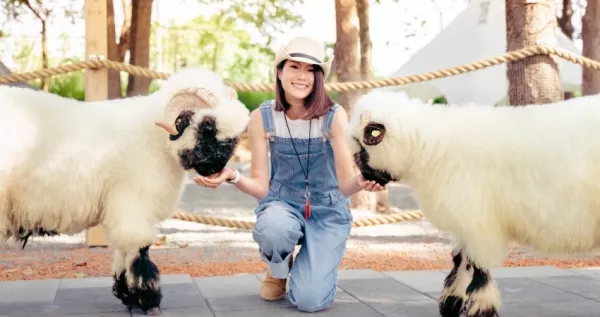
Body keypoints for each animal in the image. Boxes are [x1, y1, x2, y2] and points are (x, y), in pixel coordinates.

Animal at [0, 67, 250, 314]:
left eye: (233, 137)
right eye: (207, 127)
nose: (216, 169)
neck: (155, 139)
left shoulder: (121, 207)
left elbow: (122, 249)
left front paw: (127, 293)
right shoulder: (134, 201)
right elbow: (139, 248)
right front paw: (147, 299)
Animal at [344, 89, 600, 316]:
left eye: (363, 146)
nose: (366, 177)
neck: (428, 147)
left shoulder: (478, 220)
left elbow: (477, 268)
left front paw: (480, 308)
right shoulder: (464, 221)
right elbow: (460, 261)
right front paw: (451, 304)